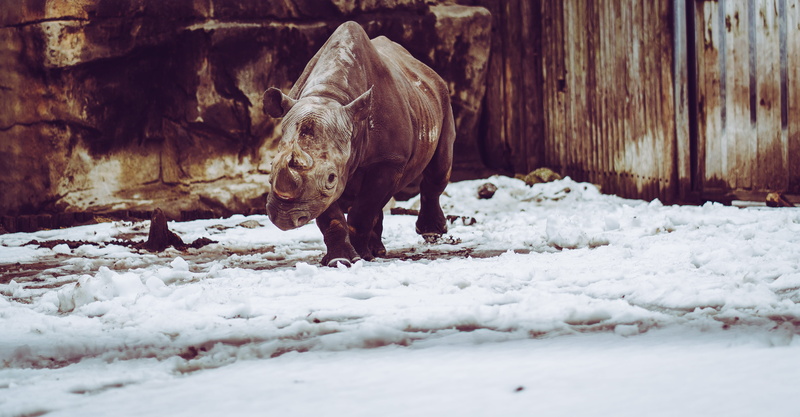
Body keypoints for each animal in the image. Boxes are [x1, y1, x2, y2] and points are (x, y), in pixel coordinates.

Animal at [262, 21, 455, 267]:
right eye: (271, 168)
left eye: (331, 178)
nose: (284, 218)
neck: (329, 95)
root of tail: (425, 69)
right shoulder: (319, 184)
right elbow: (332, 215)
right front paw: (339, 260)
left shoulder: (389, 160)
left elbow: (363, 209)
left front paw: (358, 257)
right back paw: (377, 250)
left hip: (442, 97)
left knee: (438, 169)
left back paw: (429, 234)